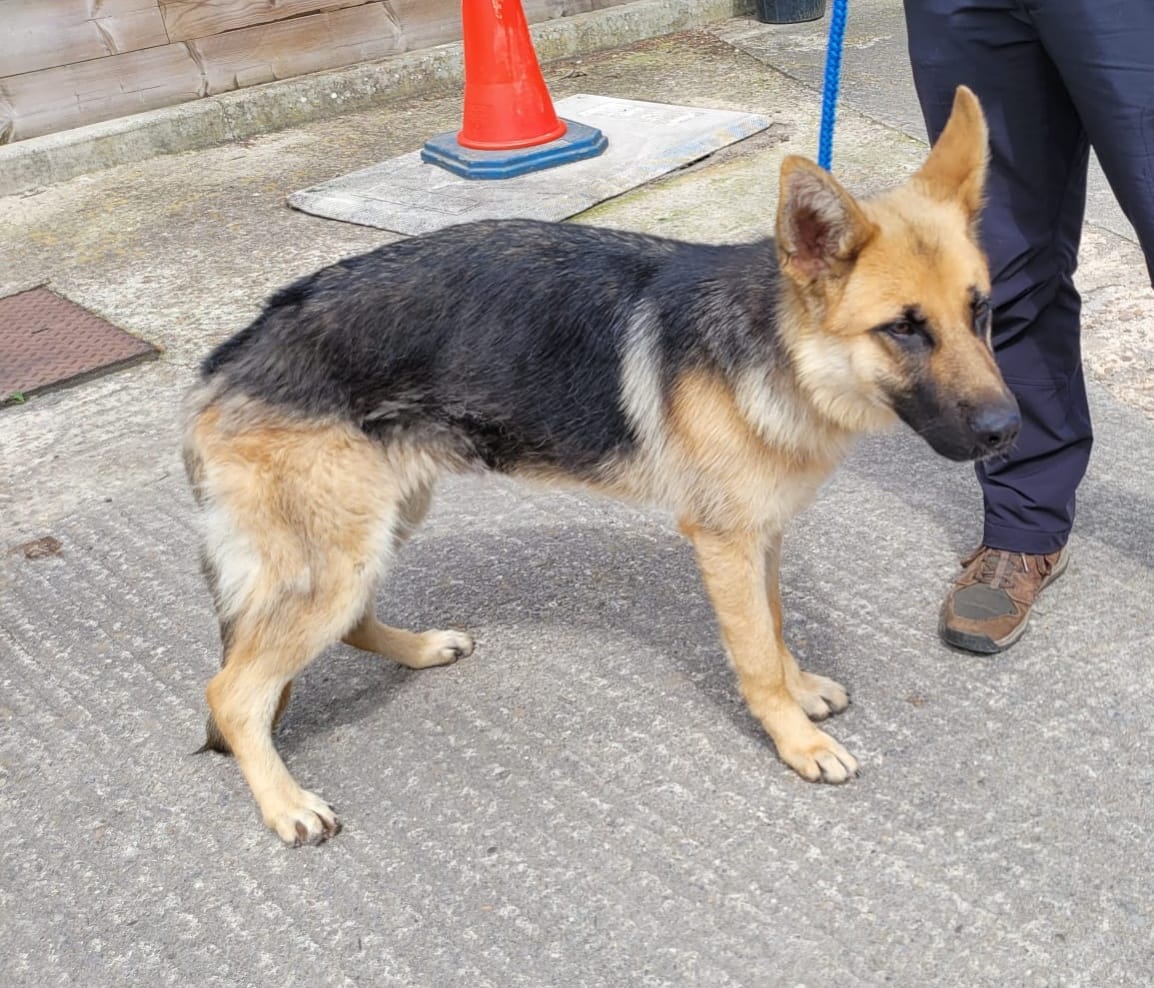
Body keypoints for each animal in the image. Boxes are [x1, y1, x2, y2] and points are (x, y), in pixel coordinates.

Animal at [182, 88, 1020, 840]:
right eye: (904, 330)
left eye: (979, 310)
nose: (1009, 431)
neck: (783, 348)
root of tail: (228, 358)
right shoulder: (726, 545)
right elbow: (754, 652)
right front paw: (797, 742)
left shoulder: (763, 536)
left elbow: (777, 626)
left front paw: (801, 689)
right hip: (340, 555)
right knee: (232, 690)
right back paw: (285, 804)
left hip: (379, 526)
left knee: (346, 627)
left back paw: (420, 650)